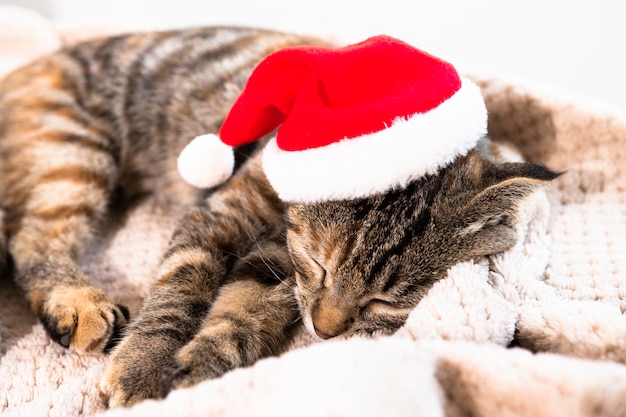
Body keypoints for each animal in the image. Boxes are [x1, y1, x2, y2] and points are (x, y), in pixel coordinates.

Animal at [0, 24, 556, 404]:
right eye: (322, 265)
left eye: (383, 301)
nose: (326, 333)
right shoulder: (224, 218)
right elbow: (180, 286)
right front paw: (144, 364)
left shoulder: (275, 261)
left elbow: (244, 312)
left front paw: (202, 363)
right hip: (73, 152)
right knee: (34, 239)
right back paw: (77, 303)